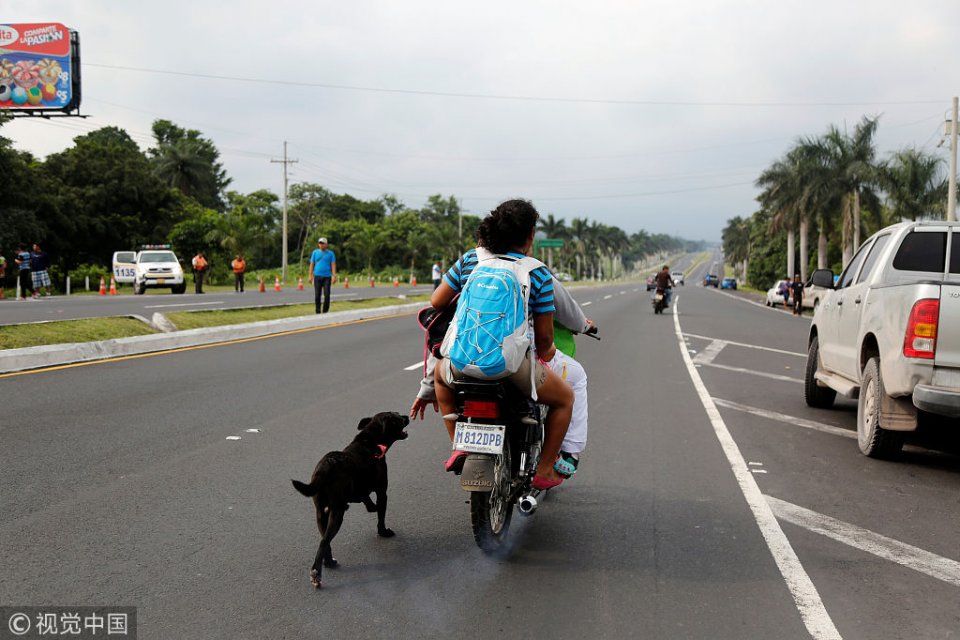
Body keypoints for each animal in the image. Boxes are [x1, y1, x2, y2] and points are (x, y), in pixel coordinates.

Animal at [288, 412, 408, 588]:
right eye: (397, 417)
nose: (407, 416)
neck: (370, 440)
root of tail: (326, 467)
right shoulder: (382, 492)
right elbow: (381, 514)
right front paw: (383, 532)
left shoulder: (360, 489)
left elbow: (367, 499)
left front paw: (371, 507)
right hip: (336, 514)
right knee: (324, 542)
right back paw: (316, 573)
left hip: (321, 514)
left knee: (325, 541)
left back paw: (329, 562)